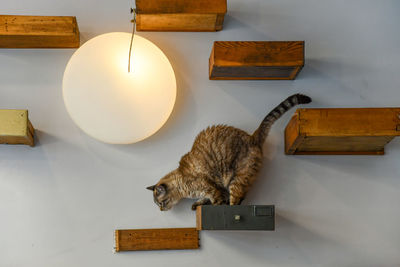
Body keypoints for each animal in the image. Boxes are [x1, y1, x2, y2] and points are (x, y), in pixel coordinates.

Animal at [147, 94, 312, 211]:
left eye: (161, 203)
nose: (161, 210)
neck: (183, 184)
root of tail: (252, 137)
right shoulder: (215, 188)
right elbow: (206, 199)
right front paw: (197, 204)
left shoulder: (212, 188)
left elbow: (217, 201)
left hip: (238, 180)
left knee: (235, 203)